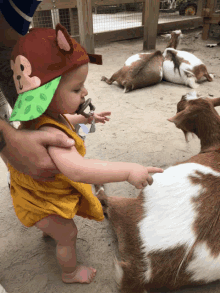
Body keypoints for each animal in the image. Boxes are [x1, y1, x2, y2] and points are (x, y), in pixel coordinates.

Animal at [95, 91, 220, 292]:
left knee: (104, 200)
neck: (216, 148)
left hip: (125, 208)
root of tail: (141, 276)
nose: (183, 94)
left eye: (182, 105)